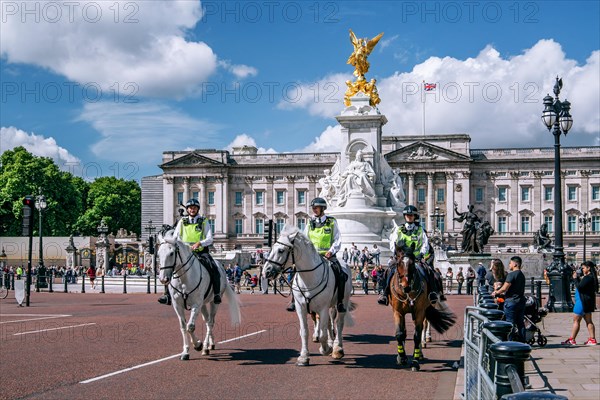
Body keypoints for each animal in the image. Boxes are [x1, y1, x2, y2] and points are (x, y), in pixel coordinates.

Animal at [157, 230, 241, 360]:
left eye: (171, 253)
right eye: (158, 253)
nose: (163, 279)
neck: (183, 279)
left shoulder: (196, 304)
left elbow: (190, 326)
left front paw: (198, 345)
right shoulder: (177, 305)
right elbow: (183, 326)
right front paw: (185, 351)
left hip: (213, 302)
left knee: (211, 322)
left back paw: (206, 347)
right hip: (203, 304)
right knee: (207, 321)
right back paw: (210, 344)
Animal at [262, 225, 354, 366]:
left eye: (281, 250)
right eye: (271, 249)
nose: (265, 272)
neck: (309, 278)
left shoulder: (323, 308)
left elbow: (323, 333)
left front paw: (325, 349)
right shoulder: (301, 307)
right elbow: (304, 332)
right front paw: (304, 356)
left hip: (341, 303)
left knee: (338, 323)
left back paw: (337, 348)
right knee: (328, 323)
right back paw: (331, 343)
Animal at [390, 242, 454, 370]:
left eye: (412, 263)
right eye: (399, 263)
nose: (406, 287)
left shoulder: (420, 311)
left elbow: (417, 335)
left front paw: (415, 360)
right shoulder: (398, 311)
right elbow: (400, 334)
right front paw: (401, 357)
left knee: (425, 325)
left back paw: (422, 346)